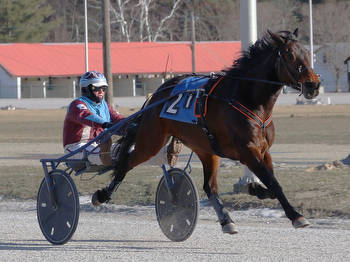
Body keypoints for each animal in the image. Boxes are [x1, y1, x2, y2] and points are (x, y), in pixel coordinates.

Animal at [92, 28, 320, 233]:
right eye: (290, 55)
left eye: (308, 53)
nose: (314, 85)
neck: (248, 100)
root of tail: (159, 92)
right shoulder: (248, 151)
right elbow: (273, 183)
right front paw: (296, 216)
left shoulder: (264, 150)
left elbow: (272, 184)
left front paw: (254, 188)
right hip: (151, 141)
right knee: (126, 163)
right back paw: (102, 195)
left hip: (205, 149)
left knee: (209, 187)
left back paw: (227, 221)